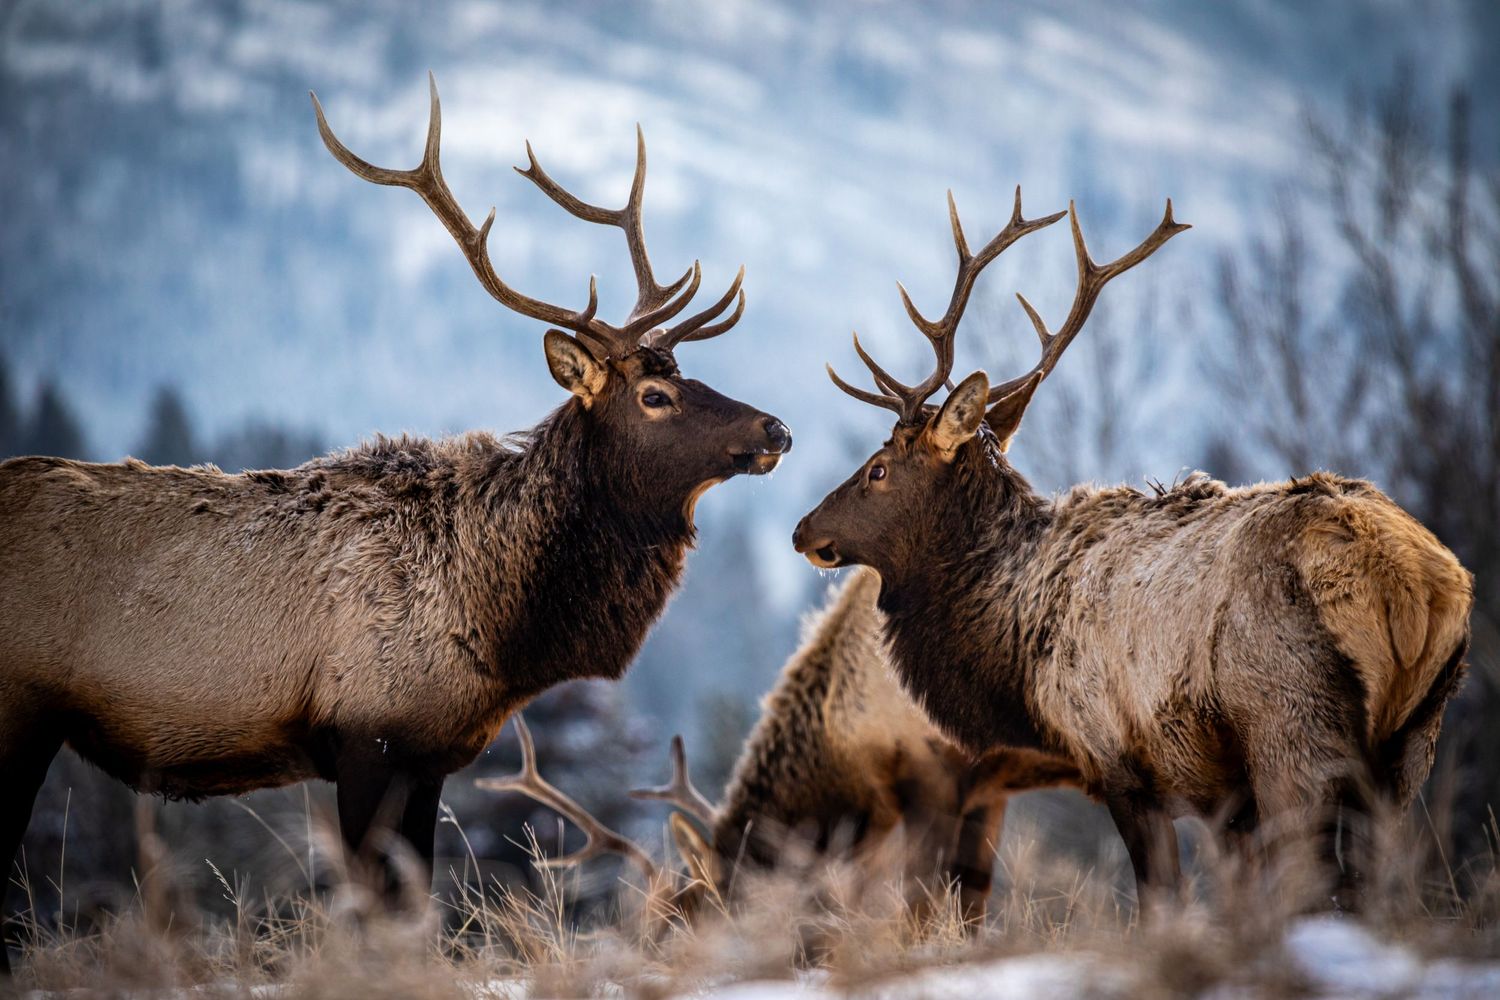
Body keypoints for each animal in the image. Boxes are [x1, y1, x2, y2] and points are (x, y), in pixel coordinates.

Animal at [0, 74, 789, 971]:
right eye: (656, 395)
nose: (775, 429)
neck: (500, 625)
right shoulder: (365, 734)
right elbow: (377, 905)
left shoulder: (428, 753)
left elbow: (416, 903)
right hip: (17, 708)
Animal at [792, 187, 1473, 913]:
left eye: (878, 469)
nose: (803, 529)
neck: (1014, 638)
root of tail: (1414, 587)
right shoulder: (1226, 801)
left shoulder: (1118, 757)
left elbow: (1161, 899)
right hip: (1414, 740)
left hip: (1292, 723)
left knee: (1314, 876)